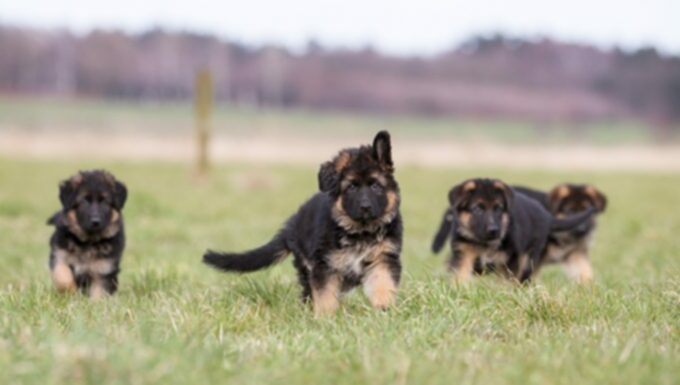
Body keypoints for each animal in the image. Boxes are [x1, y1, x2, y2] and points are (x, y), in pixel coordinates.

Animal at [48, 170, 128, 298]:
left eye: (104, 201)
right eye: (84, 200)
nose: (95, 221)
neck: (87, 242)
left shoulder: (103, 270)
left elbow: (99, 293)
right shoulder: (59, 255)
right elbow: (62, 277)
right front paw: (71, 293)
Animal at [205, 132, 402, 316]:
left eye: (375, 186)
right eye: (352, 187)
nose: (365, 207)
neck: (360, 232)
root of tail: (292, 224)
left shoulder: (383, 258)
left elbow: (383, 283)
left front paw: (384, 307)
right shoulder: (325, 265)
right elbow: (325, 294)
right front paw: (326, 317)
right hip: (306, 265)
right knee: (308, 292)